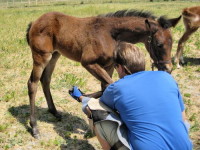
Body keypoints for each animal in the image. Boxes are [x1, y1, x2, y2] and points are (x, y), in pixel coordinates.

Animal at [25, 9, 180, 138]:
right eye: (159, 44)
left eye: (172, 42)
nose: (168, 68)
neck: (110, 34)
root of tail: (35, 22)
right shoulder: (88, 63)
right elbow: (110, 85)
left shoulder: (109, 65)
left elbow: (106, 88)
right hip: (41, 56)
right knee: (33, 83)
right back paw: (35, 128)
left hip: (55, 55)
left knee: (46, 79)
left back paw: (54, 112)